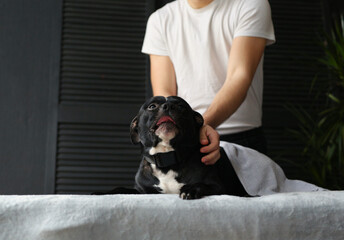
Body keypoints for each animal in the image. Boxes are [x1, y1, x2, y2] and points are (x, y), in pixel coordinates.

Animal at [95, 95, 249, 199]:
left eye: (181, 106)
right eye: (152, 106)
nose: (167, 106)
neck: (167, 159)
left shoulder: (217, 187)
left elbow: (201, 184)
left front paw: (190, 190)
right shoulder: (142, 191)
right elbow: (120, 188)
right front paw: (103, 192)